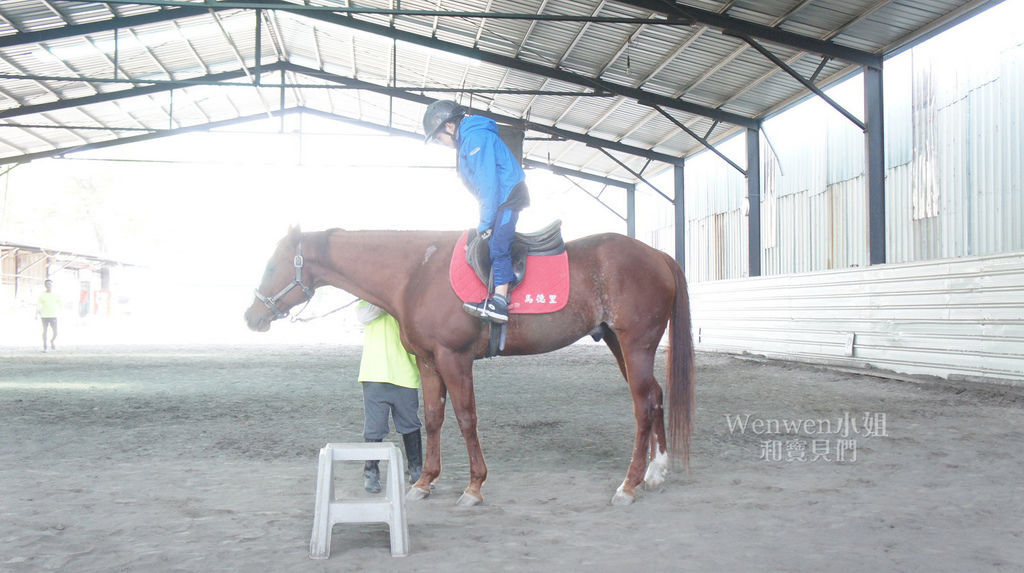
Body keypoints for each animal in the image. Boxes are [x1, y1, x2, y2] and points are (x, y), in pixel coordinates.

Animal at [245, 226, 696, 503]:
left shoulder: (454, 358)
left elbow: (466, 417)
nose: (251, 317)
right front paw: (424, 481)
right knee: (655, 397)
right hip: (621, 345)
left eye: (271, 265)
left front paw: (474, 486)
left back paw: (629, 484)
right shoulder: (429, 362)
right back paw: (656, 470)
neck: (417, 272)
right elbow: (431, 418)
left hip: (635, 345)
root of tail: (656, 254)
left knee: (643, 406)